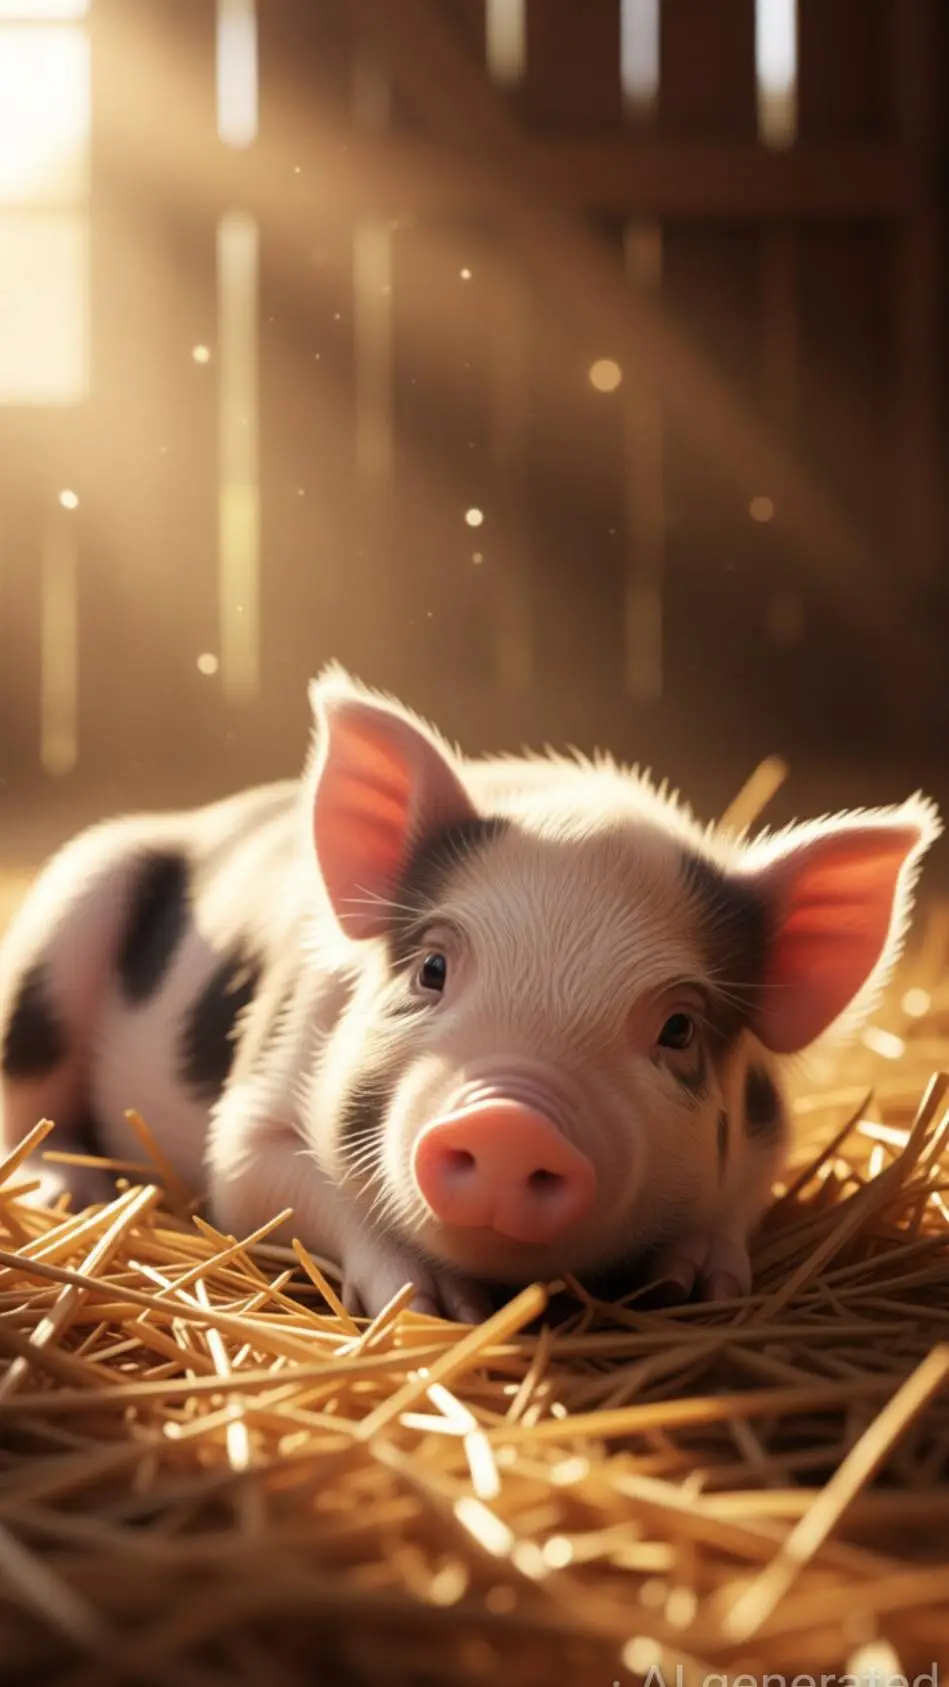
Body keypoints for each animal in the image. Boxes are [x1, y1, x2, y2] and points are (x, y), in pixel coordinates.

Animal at [0, 666, 939, 1320]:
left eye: (678, 1027)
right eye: (431, 969)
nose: (507, 1120)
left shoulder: (767, 1134)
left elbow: (735, 1207)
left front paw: (687, 1288)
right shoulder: (259, 1097)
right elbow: (259, 1178)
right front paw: (441, 1307)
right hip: (68, 916)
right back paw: (69, 1193)